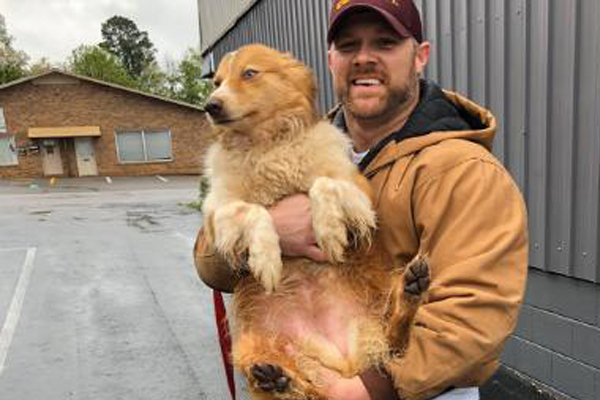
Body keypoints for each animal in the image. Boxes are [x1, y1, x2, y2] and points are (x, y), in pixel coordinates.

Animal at [204, 42, 428, 398]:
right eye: (217, 82)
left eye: (249, 73)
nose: (210, 106)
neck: (268, 146)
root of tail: (343, 360)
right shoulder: (217, 212)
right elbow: (255, 210)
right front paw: (267, 259)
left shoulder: (357, 187)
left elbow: (321, 184)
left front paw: (330, 232)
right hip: (250, 346)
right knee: (301, 386)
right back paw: (277, 378)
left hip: (377, 305)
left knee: (394, 342)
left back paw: (410, 291)